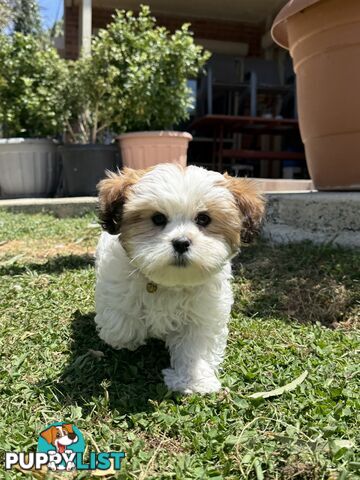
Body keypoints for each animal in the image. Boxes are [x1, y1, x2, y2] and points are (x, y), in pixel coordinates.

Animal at [95, 163, 264, 392]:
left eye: (203, 219)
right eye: (158, 218)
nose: (181, 242)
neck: (170, 283)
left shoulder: (203, 313)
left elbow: (196, 345)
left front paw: (192, 379)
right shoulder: (115, 281)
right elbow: (121, 322)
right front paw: (127, 337)